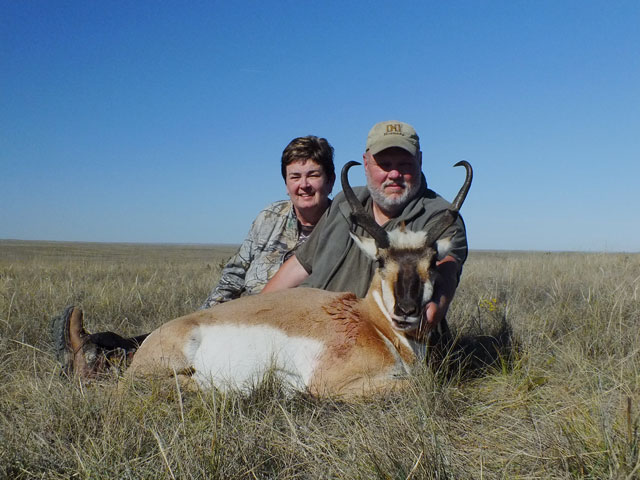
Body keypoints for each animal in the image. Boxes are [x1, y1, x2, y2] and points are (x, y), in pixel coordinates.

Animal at [127, 160, 472, 398]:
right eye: (381, 260)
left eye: (432, 261)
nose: (406, 310)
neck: (370, 322)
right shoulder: (332, 384)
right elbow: (421, 384)